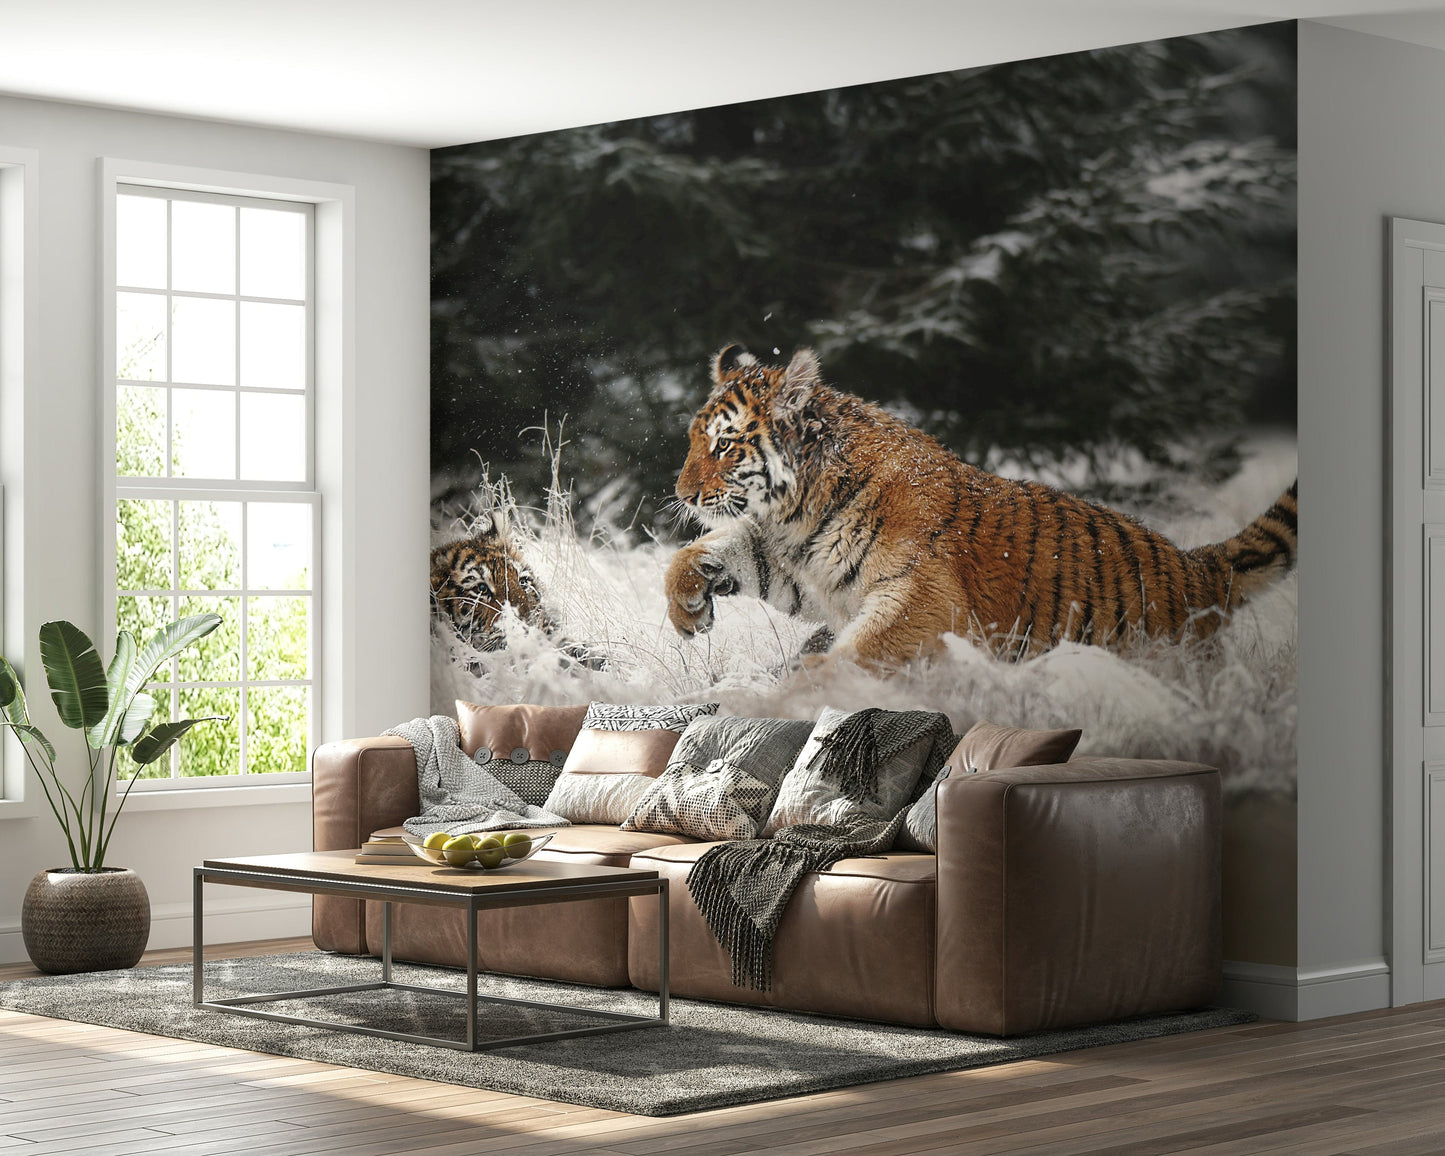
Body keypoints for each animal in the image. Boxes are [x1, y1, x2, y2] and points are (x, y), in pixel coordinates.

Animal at [664, 344, 1298, 669]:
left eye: (724, 445)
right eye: (695, 440)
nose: (682, 495)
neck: (798, 512)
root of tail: (1202, 566)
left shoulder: (922, 595)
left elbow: (857, 653)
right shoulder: (806, 570)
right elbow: (711, 549)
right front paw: (689, 607)